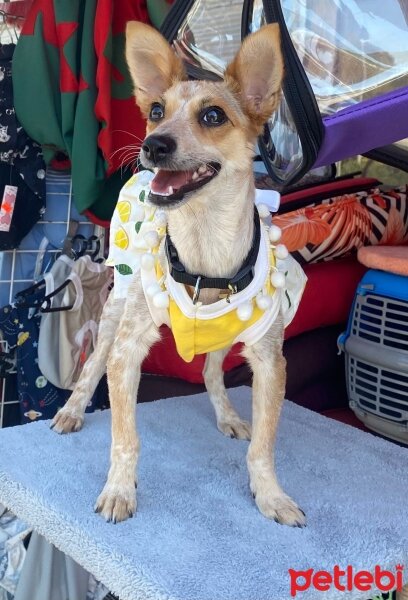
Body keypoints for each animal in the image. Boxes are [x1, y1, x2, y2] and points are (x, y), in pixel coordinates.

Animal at [51, 21, 306, 528]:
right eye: (155, 111)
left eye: (213, 115)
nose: (153, 145)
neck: (204, 246)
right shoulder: (127, 349)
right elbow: (124, 438)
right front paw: (118, 490)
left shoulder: (269, 360)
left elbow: (264, 446)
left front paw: (270, 495)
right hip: (115, 309)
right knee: (90, 366)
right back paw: (71, 411)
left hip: (227, 332)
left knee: (209, 371)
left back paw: (226, 415)